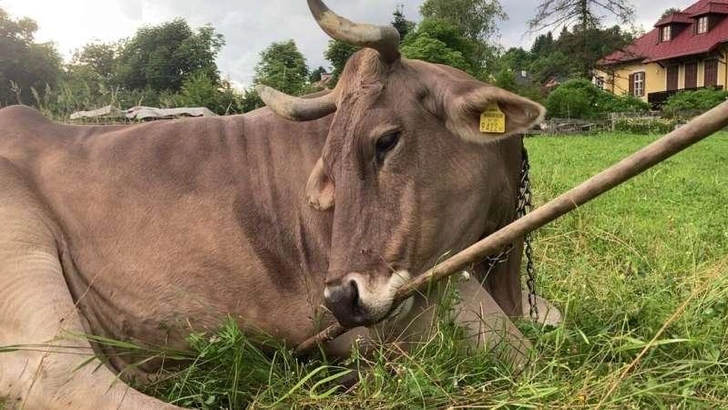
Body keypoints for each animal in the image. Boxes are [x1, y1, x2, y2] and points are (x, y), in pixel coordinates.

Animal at [0, 1, 550, 408]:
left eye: (386, 140)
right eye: (329, 162)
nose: (339, 299)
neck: (497, 263)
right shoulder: (415, 306)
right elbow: (525, 354)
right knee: (64, 380)